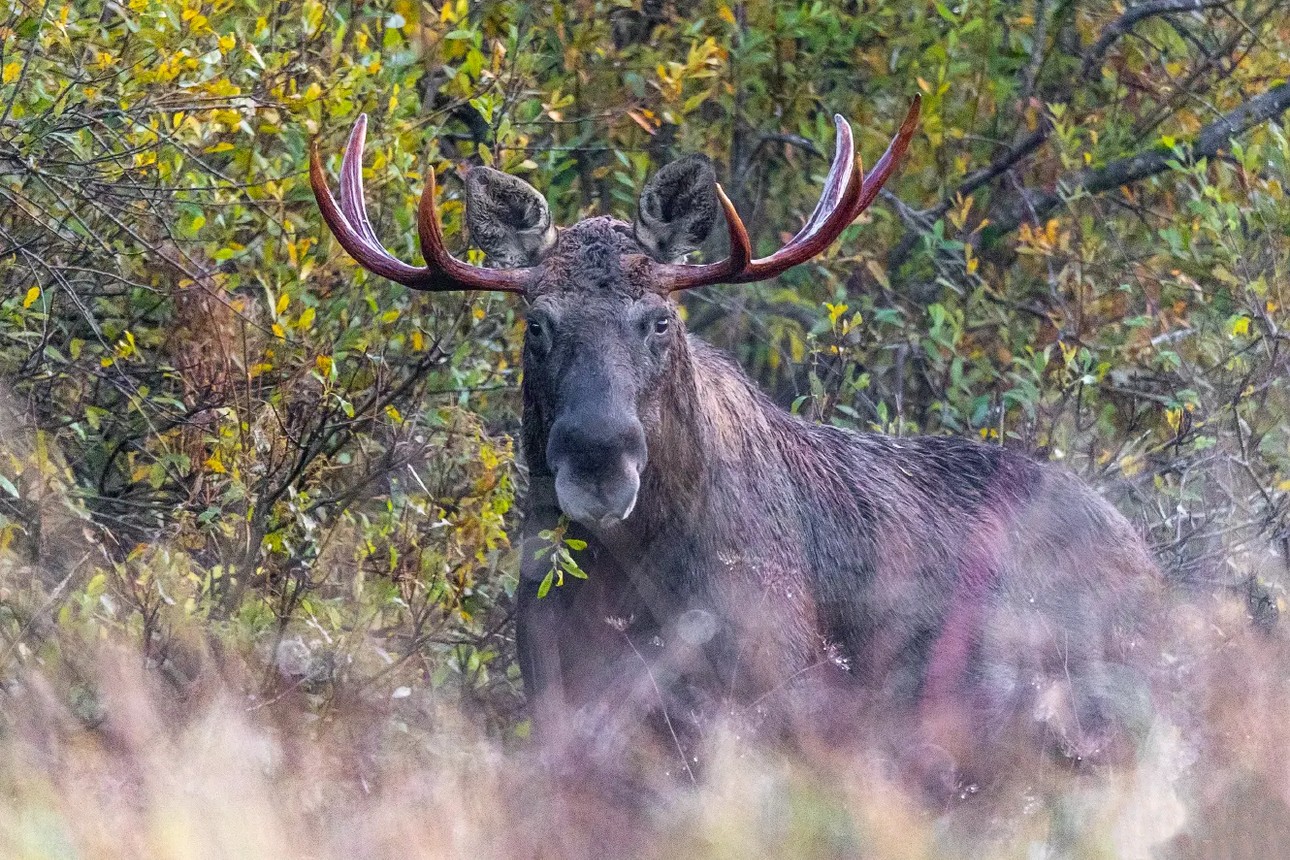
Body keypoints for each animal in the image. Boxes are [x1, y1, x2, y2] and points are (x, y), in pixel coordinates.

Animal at [309, 97, 1161, 789]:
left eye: (659, 320)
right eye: (537, 325)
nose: (598, 461)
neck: (632, 580)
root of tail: (1146, 557)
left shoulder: (771, 697)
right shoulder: (561, 703)